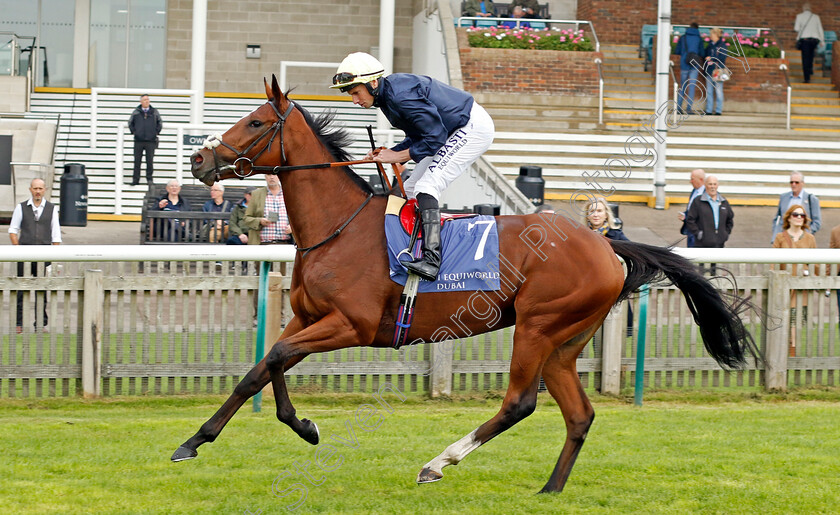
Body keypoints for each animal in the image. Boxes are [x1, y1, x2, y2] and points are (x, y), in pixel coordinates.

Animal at [174, 75, 756, 492]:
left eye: (254, 121)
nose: (199, 157)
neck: (339, 227)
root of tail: (606, 245)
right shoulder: (307, 317)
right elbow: (262, 368)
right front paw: (206, 439)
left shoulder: (350, 325)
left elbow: (273, 359)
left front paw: (292, 427)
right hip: (565, 342)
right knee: (579, 414)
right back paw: (550, 489)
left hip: (538, 327)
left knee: (520, 403)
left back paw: (437, 463)